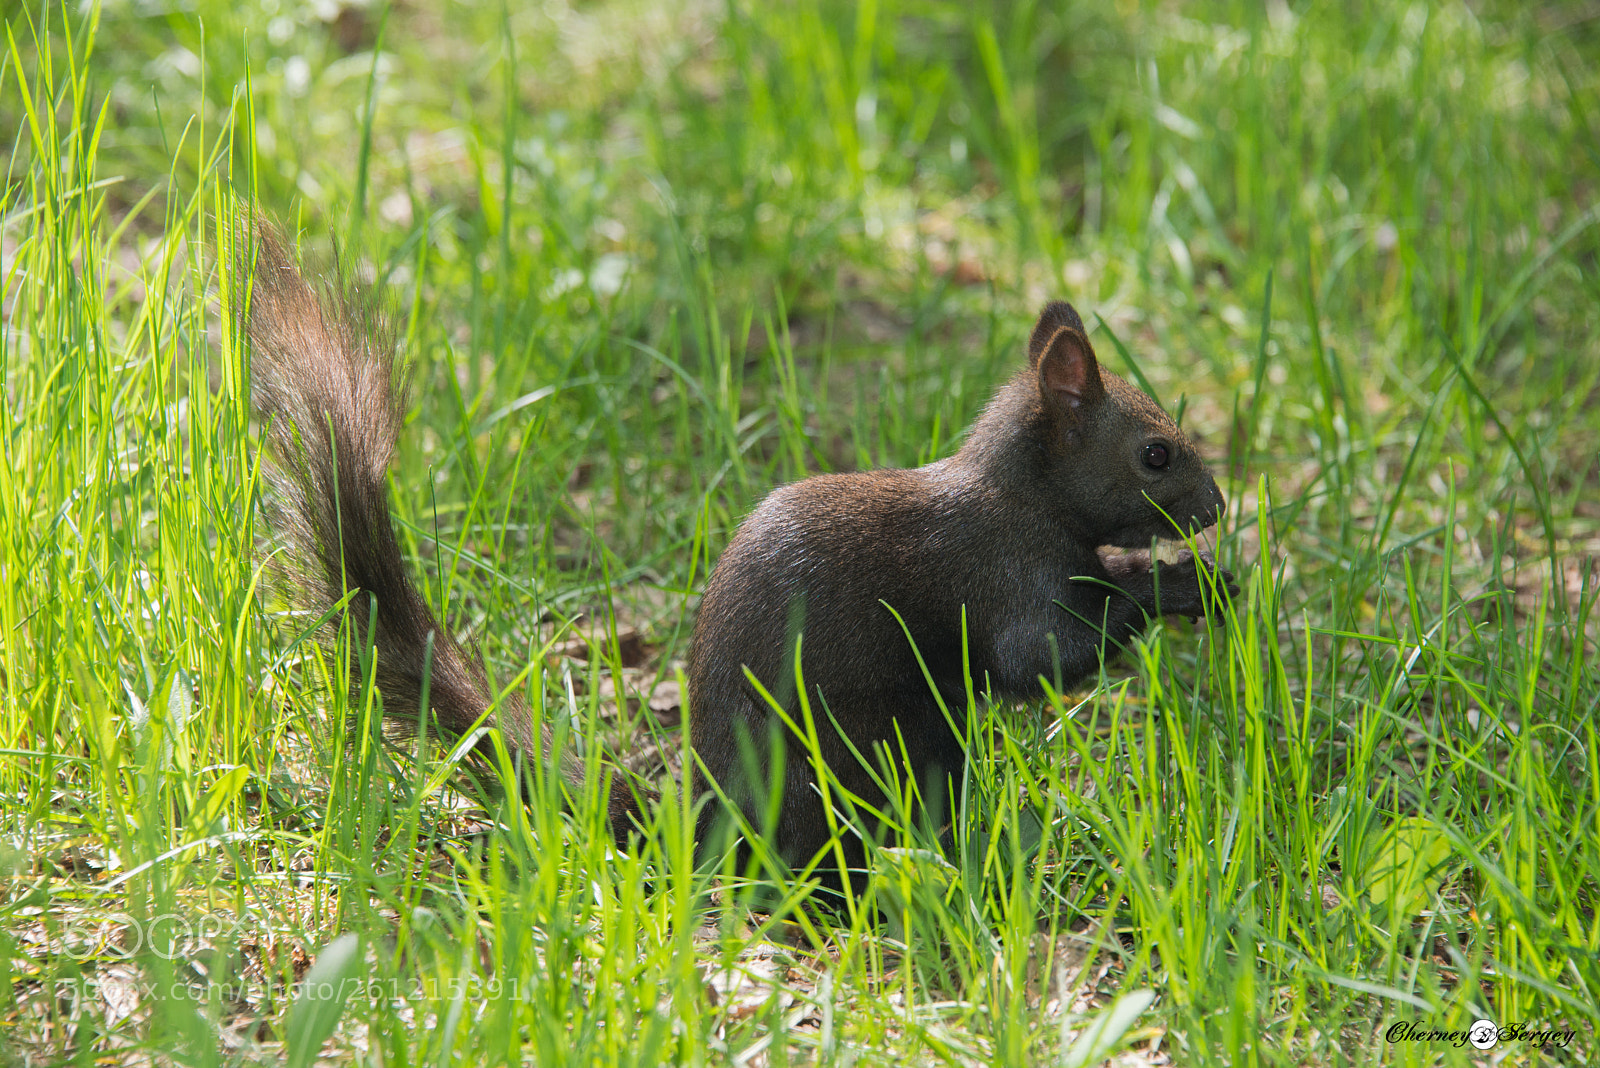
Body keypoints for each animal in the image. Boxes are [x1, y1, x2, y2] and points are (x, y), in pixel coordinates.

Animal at [687, 300, 1235, 877]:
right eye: (1156, 455)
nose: (1217, 505)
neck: (1026, 498)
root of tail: (715, 830)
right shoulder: (1011, 576)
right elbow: (1047, 654)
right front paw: (1184, 585)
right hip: (887, 743)